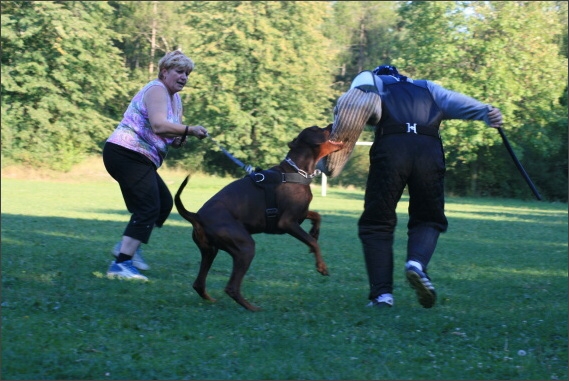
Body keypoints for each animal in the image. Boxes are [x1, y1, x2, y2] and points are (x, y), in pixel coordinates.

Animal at [174, 124, 342, 308]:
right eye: (316, 128)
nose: (331, 124)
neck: (296, 171)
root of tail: (196, 216)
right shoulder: (287, 222)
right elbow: (313, 242)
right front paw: (321, 266)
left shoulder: (301, 214)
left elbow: (317, 217)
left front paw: (315, 232)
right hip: (245, 247)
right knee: (231, 287)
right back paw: (252, 308)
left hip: (210, 251)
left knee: (198, 284)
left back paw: (212, 300)